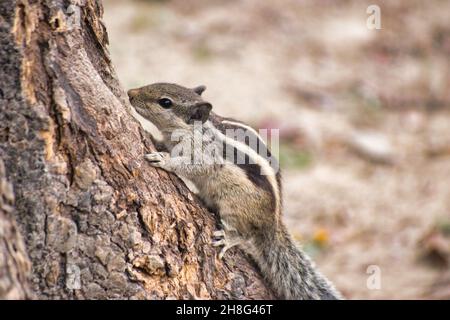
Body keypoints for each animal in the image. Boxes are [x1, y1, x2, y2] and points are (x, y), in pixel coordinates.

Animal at [126, 82, 342, 300]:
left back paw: (230, 238)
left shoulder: (206, 156)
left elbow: (194, 166)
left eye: (165, 102)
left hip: (235, 206)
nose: (130, 93)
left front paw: (165, 160)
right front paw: (153, 138)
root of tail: (272, 222)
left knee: (246, 234)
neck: (197, 130)